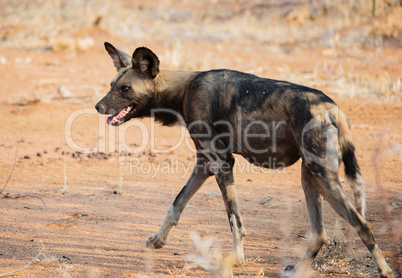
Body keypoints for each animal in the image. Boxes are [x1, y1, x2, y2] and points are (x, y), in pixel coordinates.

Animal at [96, 42, 394, 276]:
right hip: (310, 176)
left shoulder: (223, 163)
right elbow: (176, 204)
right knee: (319, 235)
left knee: (362, 224)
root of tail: (332, 108)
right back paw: (296, 271)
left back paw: (386, 271)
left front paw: (236, 259)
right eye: (112, 85)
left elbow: (234, 220)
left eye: (125, 89)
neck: (182, 91)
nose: (98, 106)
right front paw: (158, 240)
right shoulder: (205, 165)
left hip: (323, 176)